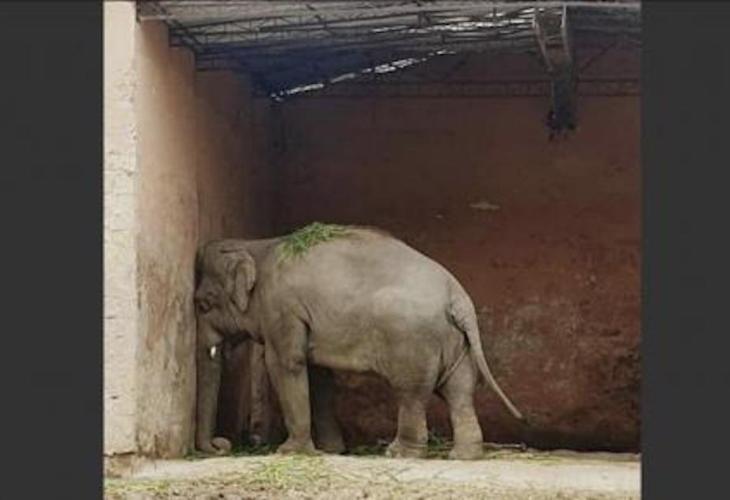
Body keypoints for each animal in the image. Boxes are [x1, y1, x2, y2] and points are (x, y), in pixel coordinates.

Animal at [193, 223, 524, 460]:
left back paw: (400, 453)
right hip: (455, 341)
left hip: (412, 339)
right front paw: (331, 450)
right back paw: (463, 455)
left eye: (203, 304)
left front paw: (289, 452)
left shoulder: (282, 307)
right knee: (460, 391)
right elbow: (318, 376)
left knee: (411, 393)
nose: (221, 444)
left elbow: (286, 364)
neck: (256, 245)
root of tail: (458, 296)